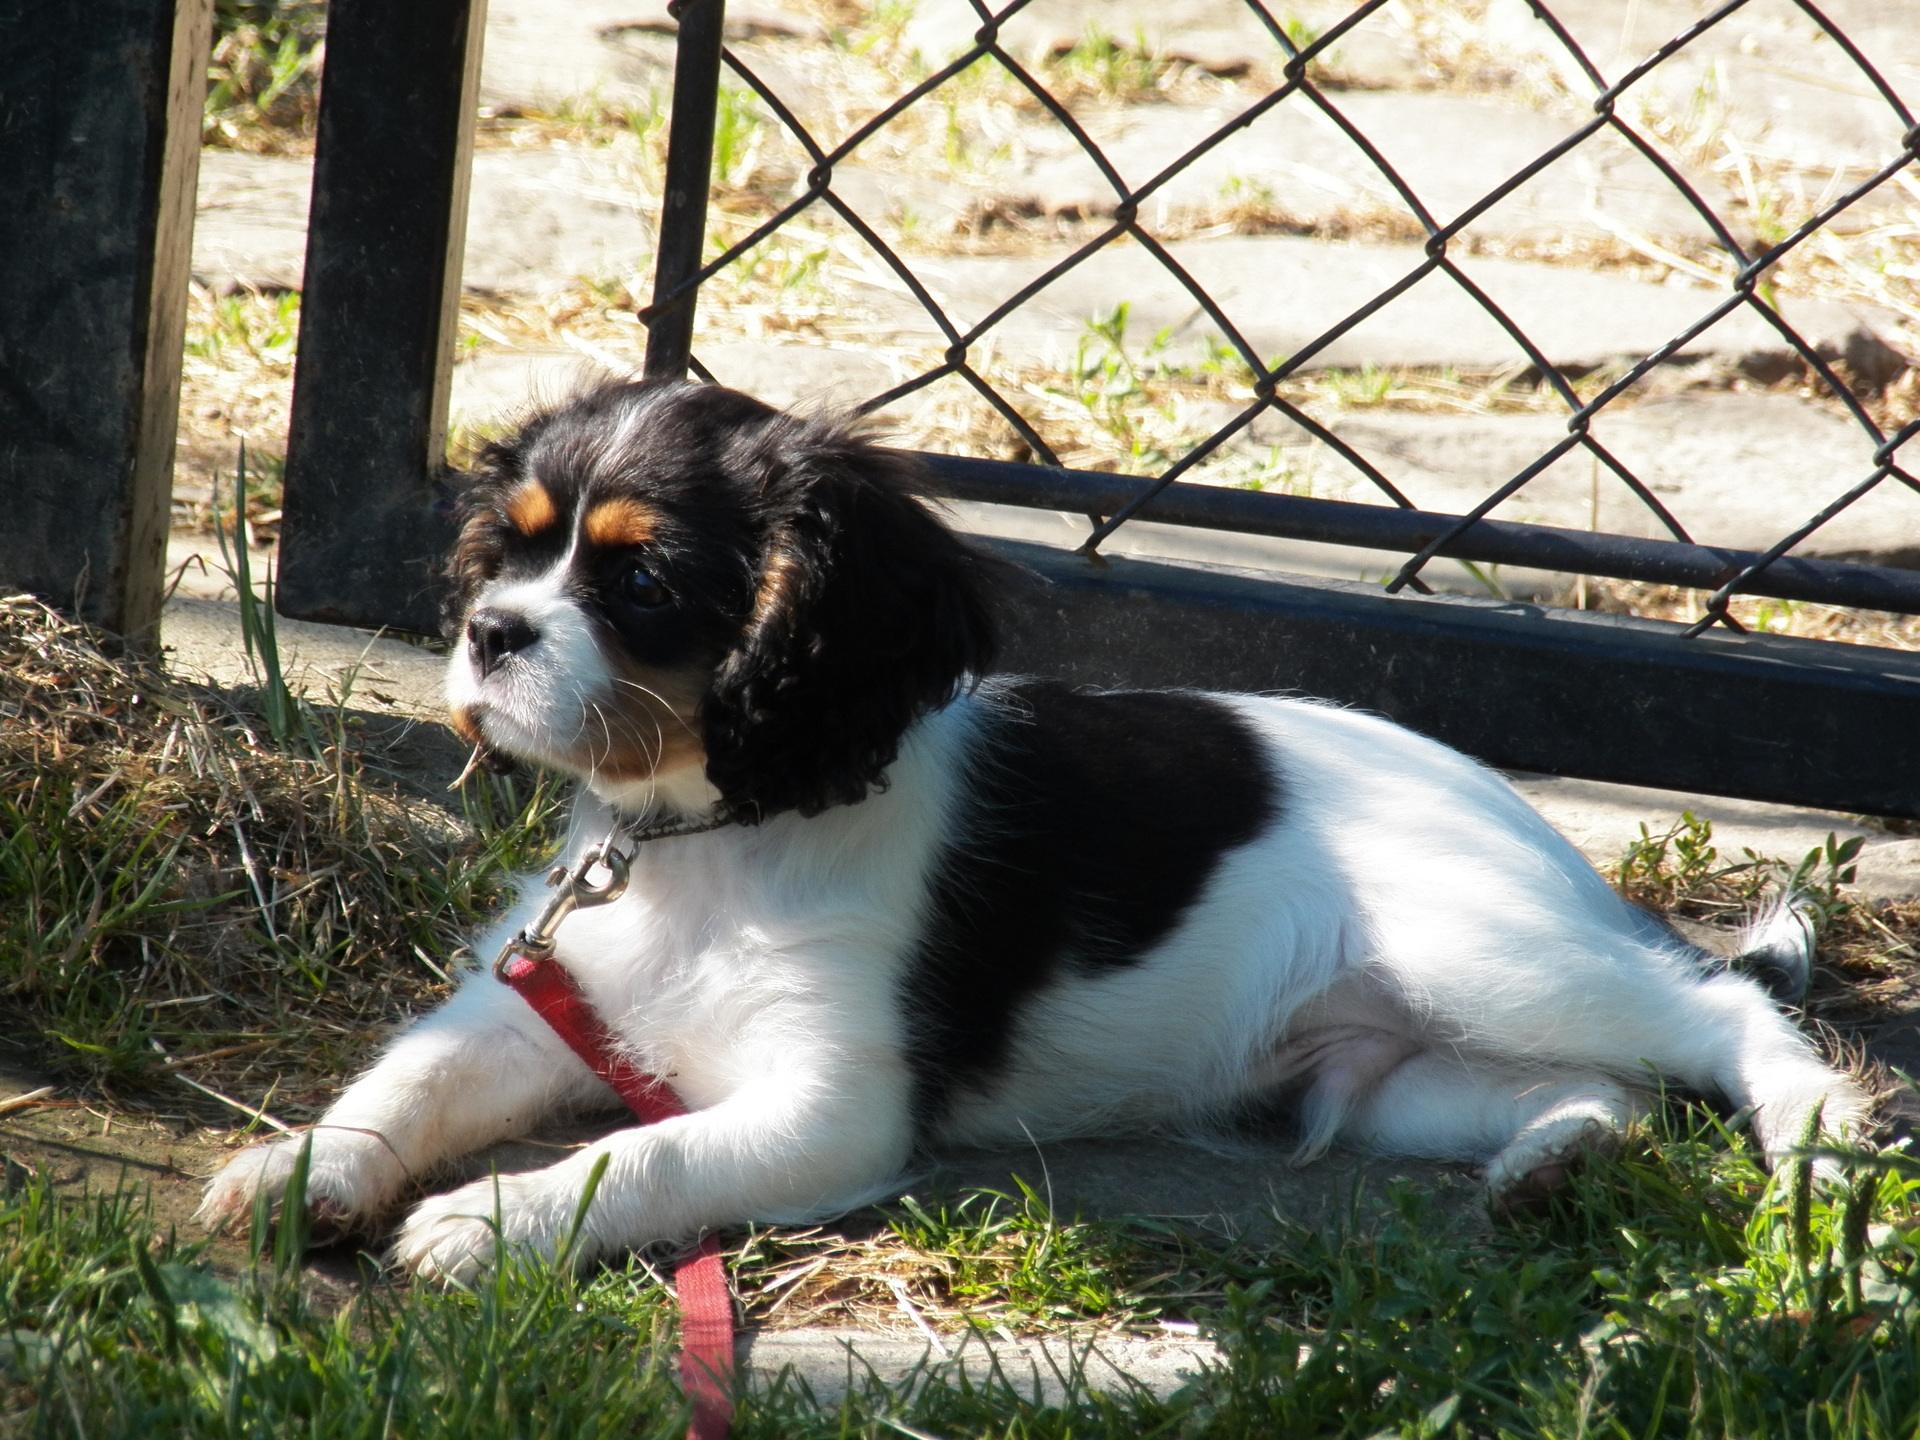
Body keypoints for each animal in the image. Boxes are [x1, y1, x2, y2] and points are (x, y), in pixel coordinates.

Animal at [200, 378, 1868, 1281]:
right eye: (514, 547)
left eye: (643, 584)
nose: (487, 634)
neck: (704, 842)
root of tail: (1534, 837)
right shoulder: (536, 998)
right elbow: (412, 1076)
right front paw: (301, 1169)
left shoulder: (832, 1108)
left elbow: (644, 1158)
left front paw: (493, 1221)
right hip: (1401, 1078)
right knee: (1608, 1086)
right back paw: (1546, 1169)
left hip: (1481, 949)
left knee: (1718, 1013)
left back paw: (1820, 1137)